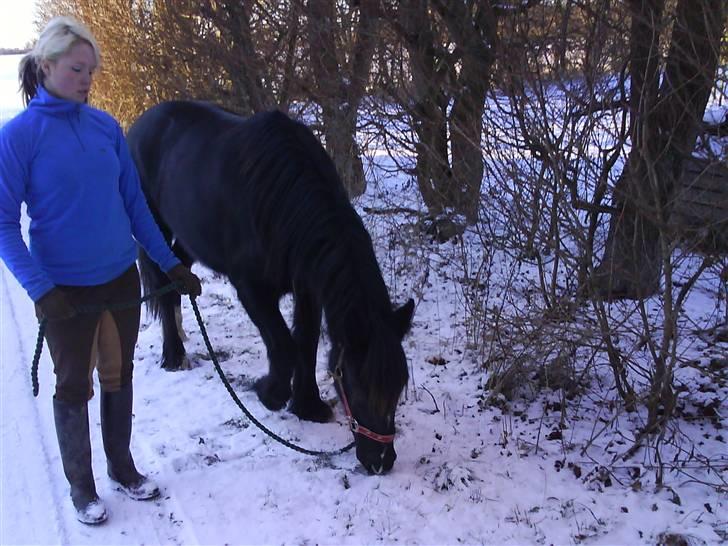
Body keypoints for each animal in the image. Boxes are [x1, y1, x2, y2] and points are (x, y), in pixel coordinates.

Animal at [127, 101, 414, 474]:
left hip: (189, 238)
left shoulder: (307, 286)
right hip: (154, 227)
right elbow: (284, 344)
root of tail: (139, 125)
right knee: (162, 281)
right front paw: (271, 393)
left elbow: (306, 342)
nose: (381, 462)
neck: (281, 201)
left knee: (177, 278)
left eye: (398, 388)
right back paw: (174, 356)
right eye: (357, 386)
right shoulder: (251, 287)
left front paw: (308, 404)